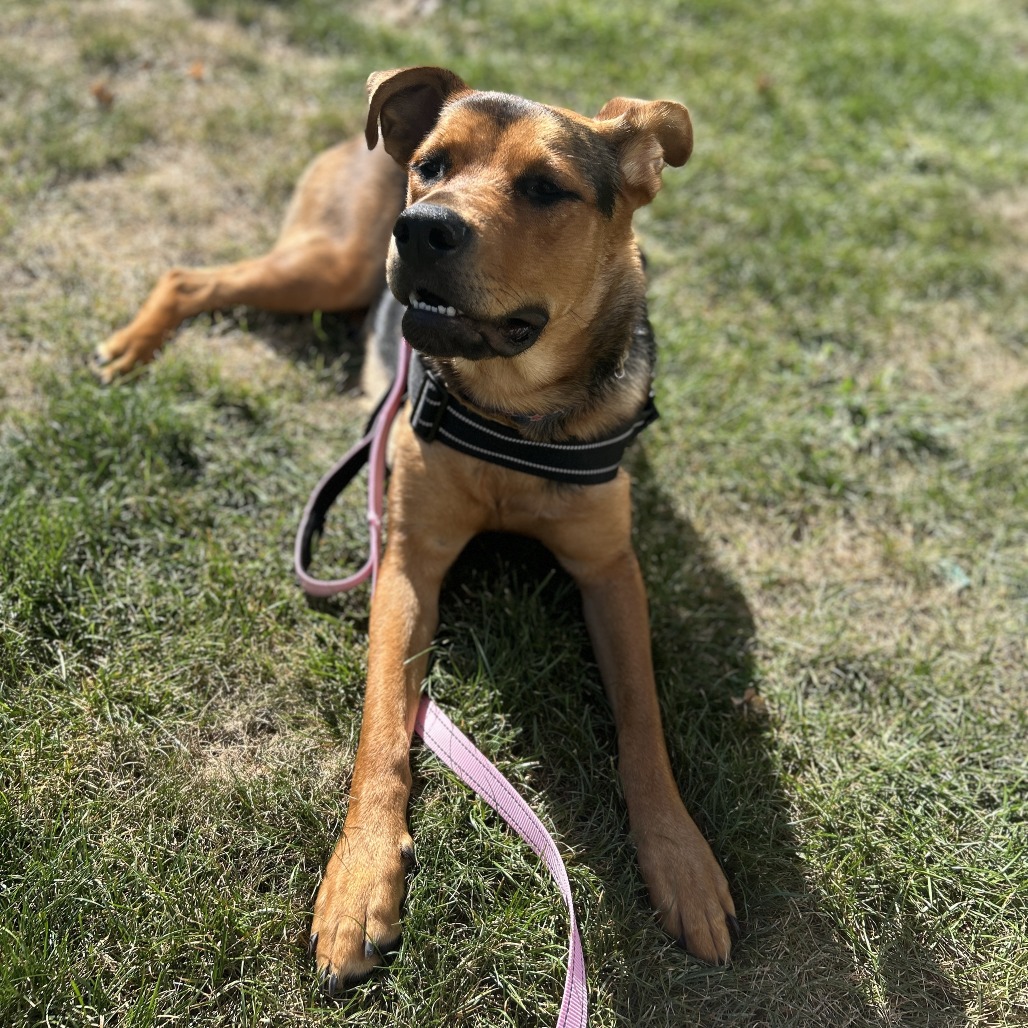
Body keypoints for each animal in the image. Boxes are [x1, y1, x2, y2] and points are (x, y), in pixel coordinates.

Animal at [98, 66, 738, 992]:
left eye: (545, 187)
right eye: (433, 166)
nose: (423, 226)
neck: (509, 412)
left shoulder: (612, 569)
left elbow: (643, 722)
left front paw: (682, 860)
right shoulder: (406, 564)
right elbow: (381, 728)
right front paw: (361, 879)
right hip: (329, 264)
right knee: (194, 277)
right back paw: (132, 346)